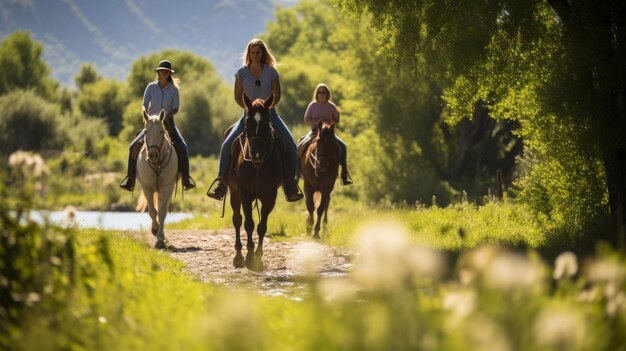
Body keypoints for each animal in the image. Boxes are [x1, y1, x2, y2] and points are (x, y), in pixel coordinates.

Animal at [227, 93, 280, 272]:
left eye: (266, 122)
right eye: (248, 122)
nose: (257, 154)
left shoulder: (270, 196)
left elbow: (262, 226)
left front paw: (258, 258)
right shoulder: (244, 194)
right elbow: (248, 223)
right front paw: (249, 258)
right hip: (233, 192)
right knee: (237, 219)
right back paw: (238, 257)